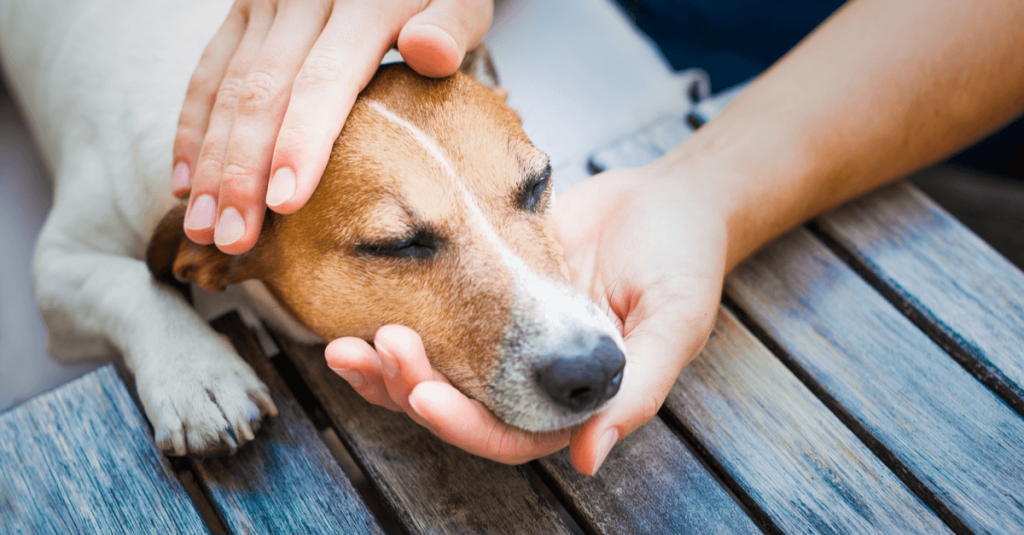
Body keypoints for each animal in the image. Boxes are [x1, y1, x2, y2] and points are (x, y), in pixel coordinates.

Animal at [0, 2, 626, 455]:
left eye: (538, 183)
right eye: (396, 246)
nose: (594, 369)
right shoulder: (58, 265)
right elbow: (130, 283)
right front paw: (196, 374)